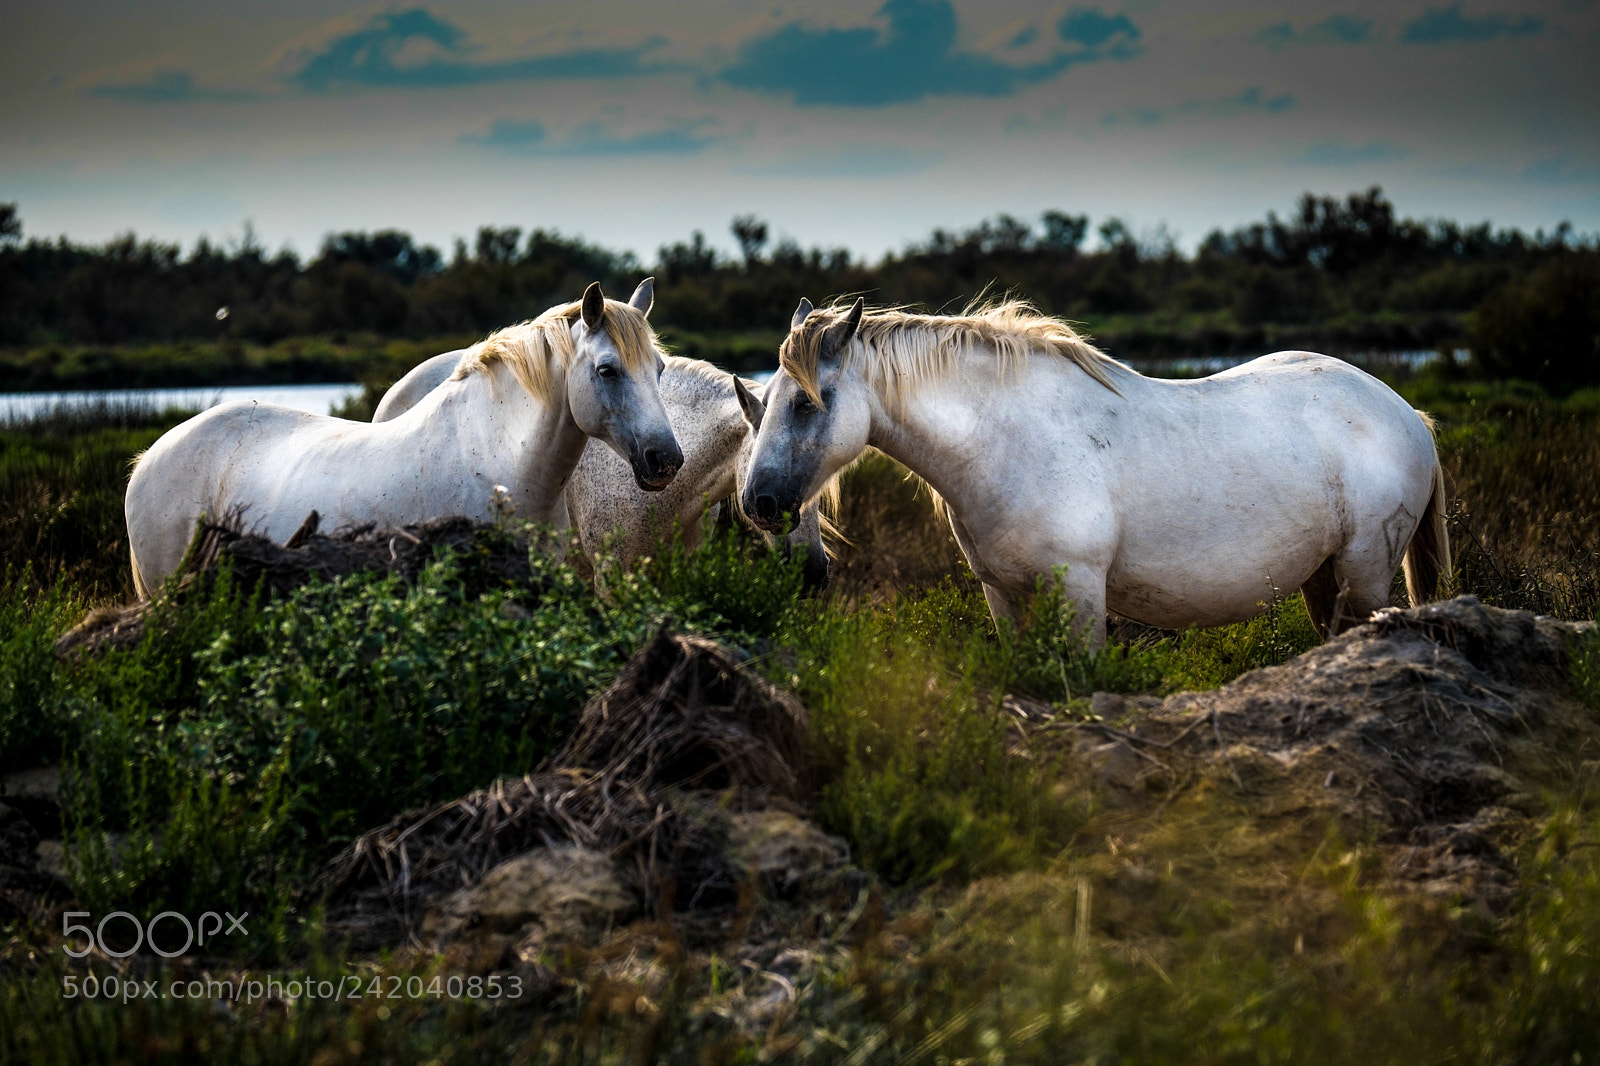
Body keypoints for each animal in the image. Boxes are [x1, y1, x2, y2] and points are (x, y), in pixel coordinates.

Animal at [738, 296, 1450, 647]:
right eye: (764, 402)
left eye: (807, 402)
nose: (759, 504)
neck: (1008, 446)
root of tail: (1408, 414)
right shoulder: (1005, 596)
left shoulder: (1080, 592)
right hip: (1324, 579)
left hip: (1364, 573)